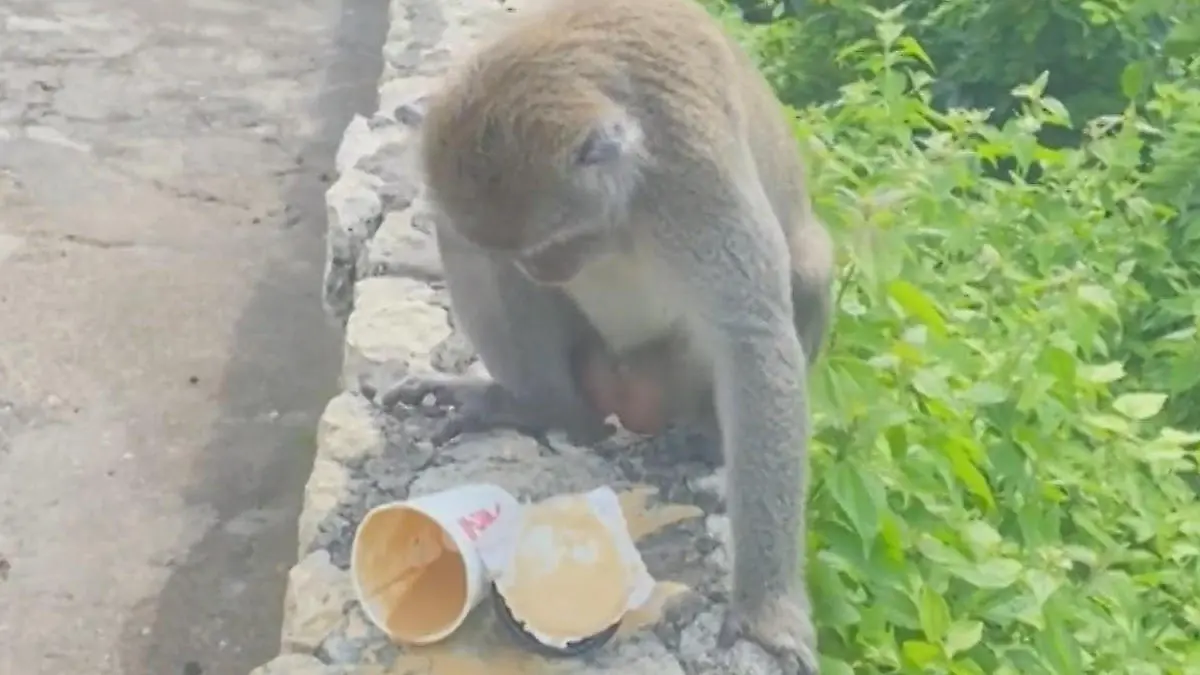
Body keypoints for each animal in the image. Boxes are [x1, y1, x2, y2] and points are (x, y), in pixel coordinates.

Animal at [389, 0, 837, 670]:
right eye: (531, 250)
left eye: (556, 240)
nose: (540, 271)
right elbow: (466, 241)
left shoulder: (689, 174)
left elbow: (752, 335)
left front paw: (765, 612)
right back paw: (543, 407)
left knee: (808, 270)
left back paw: (703, 435)